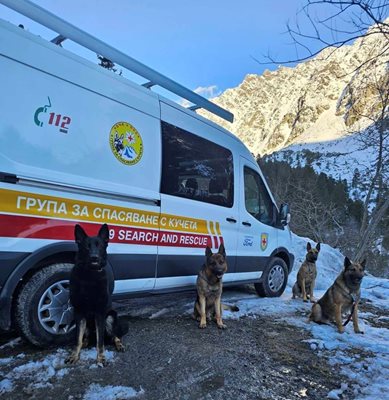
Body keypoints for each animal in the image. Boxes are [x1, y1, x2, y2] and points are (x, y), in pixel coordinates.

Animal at [65, 222, 127, 366]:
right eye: (87, 246)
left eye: (100, 246)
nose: (94, 257)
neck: (90, 275)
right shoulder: (79, 313)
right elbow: (77, 339)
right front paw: (74, 355)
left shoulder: (100, 313)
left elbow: (100, 341)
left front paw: (101, 358)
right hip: (86, 324)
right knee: (86, 338)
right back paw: (84, 344)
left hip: (110, 317)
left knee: (113, 336)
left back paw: (119, 344)